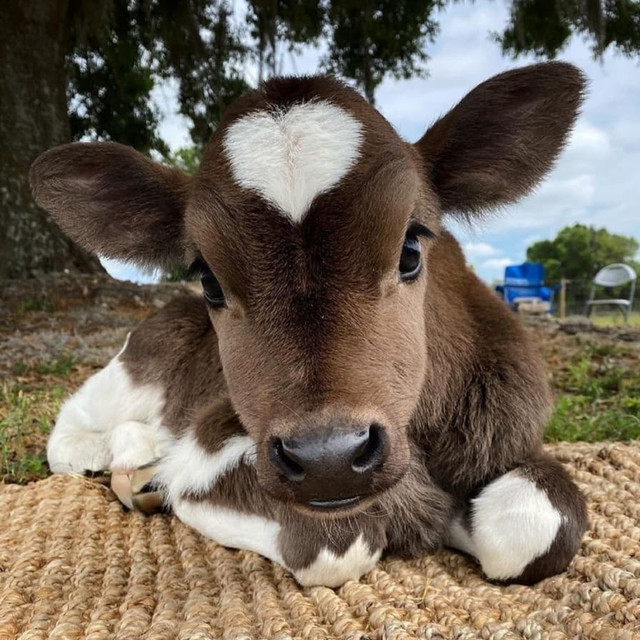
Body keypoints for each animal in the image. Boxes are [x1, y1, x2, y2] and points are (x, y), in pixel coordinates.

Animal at [30, 62, 588, 588]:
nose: (328, 459)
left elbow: (534, 528)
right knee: (70, 431)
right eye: (208, 278)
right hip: (140, 362)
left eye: (411, 248)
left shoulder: (508, 433)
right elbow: (337, 543)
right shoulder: (208, 450)